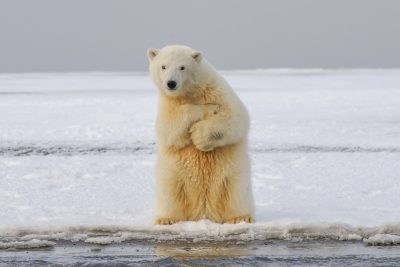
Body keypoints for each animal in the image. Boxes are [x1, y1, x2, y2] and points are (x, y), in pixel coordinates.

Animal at [148, 45, 256, 225]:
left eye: (182, 67)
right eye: (163, 66)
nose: (171, 83)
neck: (191, 92)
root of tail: (203, 212)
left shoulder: (218, 90)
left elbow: (235, 117)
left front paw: (199, 136)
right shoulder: (168, 103)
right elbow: (169, 128)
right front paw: (206, 109)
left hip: (233, 174)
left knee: (236, 192)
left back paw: (241, 217)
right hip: (173, 175)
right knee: (169, 193)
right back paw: (166, 219)